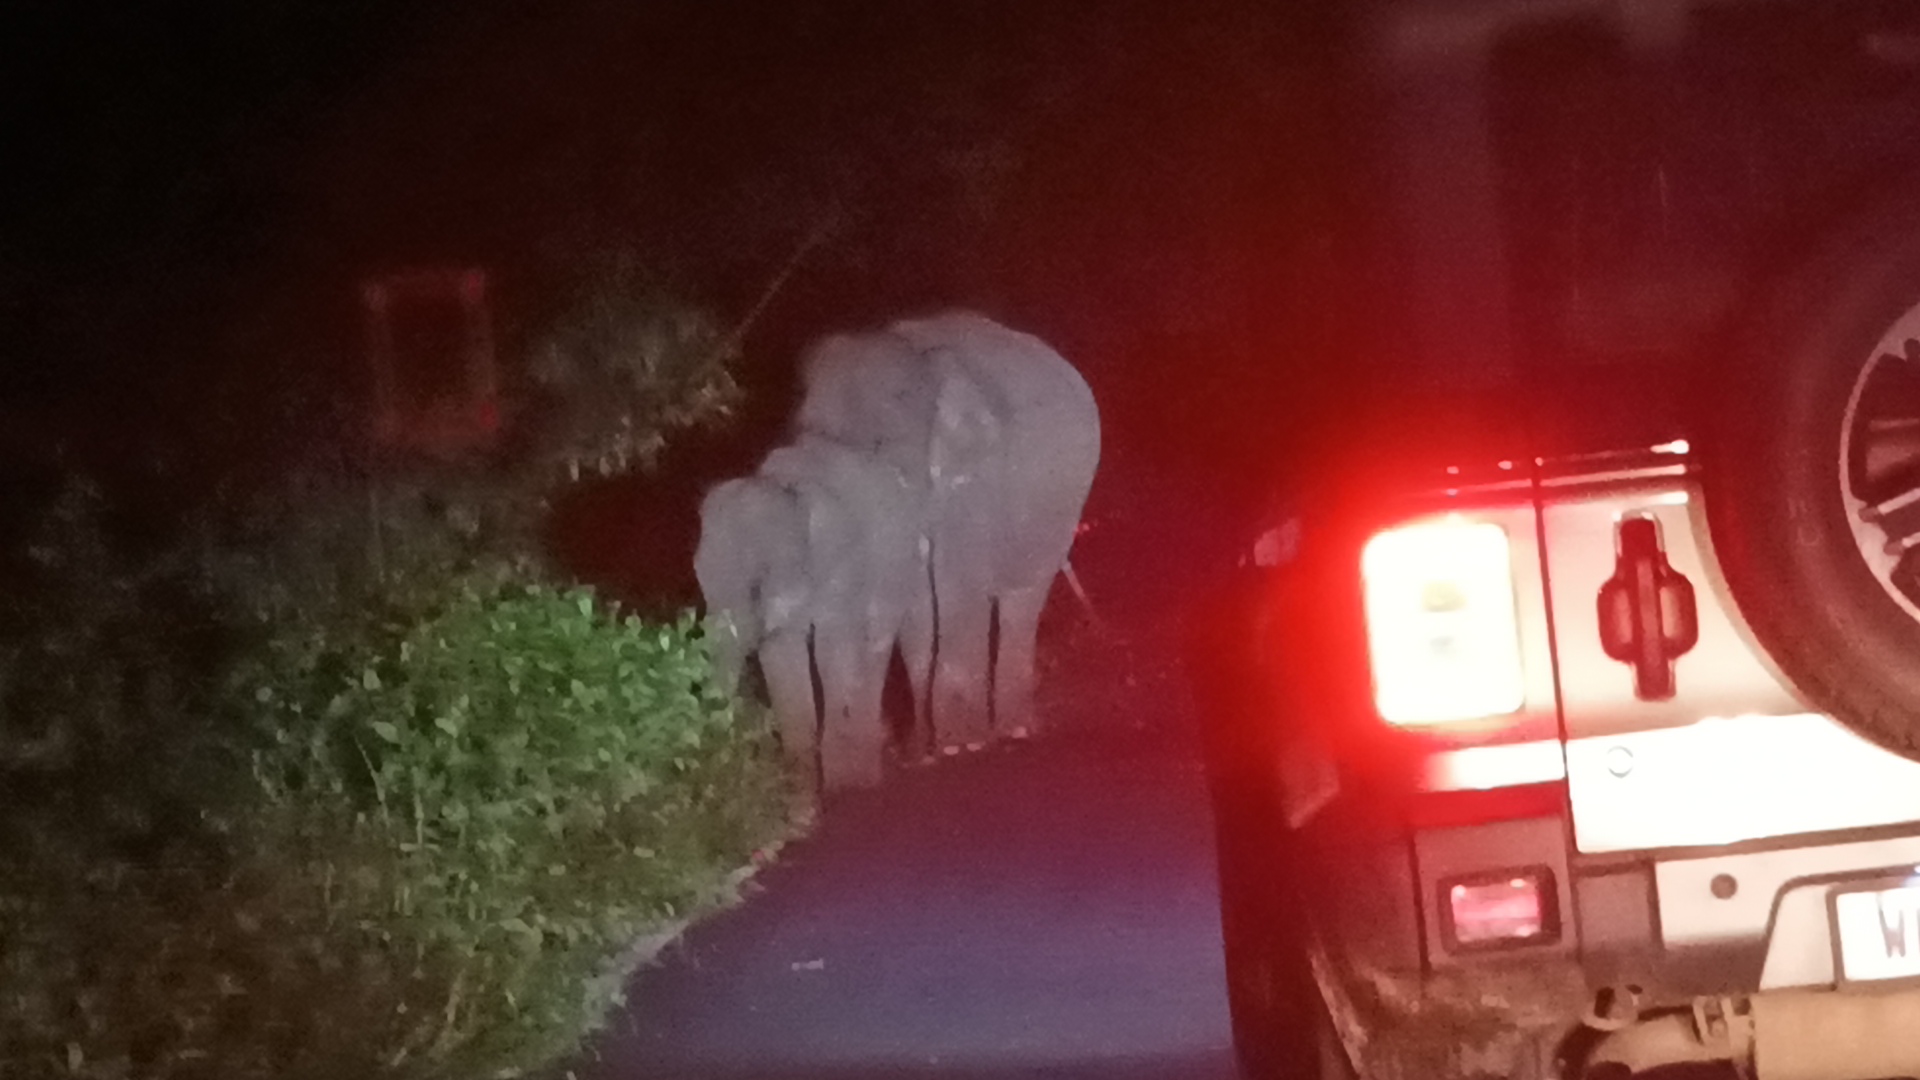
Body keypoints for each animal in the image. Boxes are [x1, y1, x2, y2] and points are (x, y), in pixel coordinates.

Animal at [695, 432, 925, 795]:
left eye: (758, 584)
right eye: (699, 579)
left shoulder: (842, 567)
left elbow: (833, 650)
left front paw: (837, 785)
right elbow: (782, 658)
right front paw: (799, 782)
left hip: (898, 572)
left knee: (874, 646)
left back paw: (863, 776)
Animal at [791, 309, 1098, 749]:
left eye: (885, 463)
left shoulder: (972, 488)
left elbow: (955, 597)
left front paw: (961, 741)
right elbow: (919, 612)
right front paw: (925, 748)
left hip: (1062, 508)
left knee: (1021, 604)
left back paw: (1013, 728)